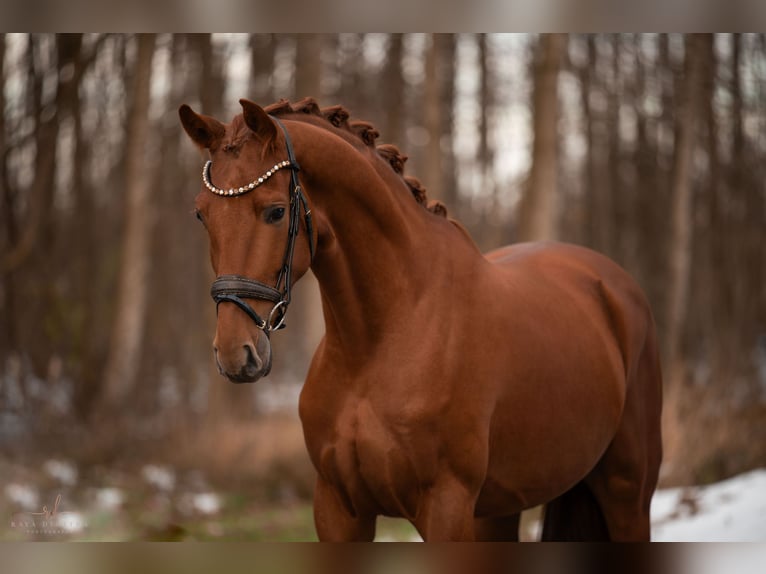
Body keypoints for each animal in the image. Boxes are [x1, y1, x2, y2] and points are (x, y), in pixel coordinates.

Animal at [182, 97, 664, 544]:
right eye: (201, 214)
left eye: (276, 211)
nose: (235, 354)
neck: (380, 342)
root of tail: (613, 283)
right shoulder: (338, 509)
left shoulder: (446, 507)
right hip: (500, 510)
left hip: (627, 495)